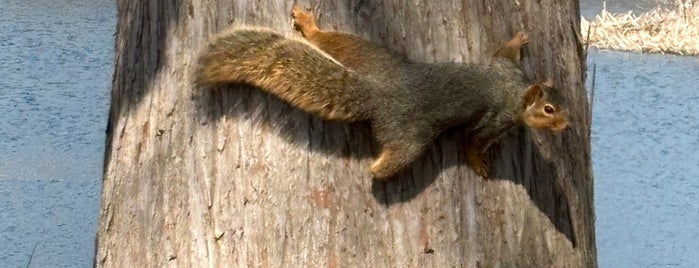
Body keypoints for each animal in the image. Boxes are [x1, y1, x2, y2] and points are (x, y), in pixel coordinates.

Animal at [196, 5, 568, 180]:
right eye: (548, 110)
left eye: (563, 104)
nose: (567, 127)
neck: (517, 89)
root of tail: (379, 91)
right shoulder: (498, 118)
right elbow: (474, 141)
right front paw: (479, 164)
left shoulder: (507, 68)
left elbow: (502, 52)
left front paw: (518, 39)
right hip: (410, 137)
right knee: (392, 160)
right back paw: (375, 171)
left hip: (369, 54)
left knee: (332, 42)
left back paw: (310, 27)